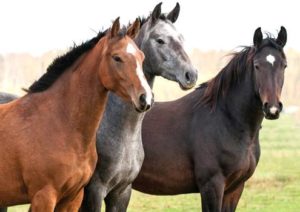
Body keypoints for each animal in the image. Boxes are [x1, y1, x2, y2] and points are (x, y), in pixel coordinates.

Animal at [134, 26, 288, 210]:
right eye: (257, 66)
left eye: (284, 65)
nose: (272, 108)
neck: (227, 120)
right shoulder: (212, 185)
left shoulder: (235, 189)